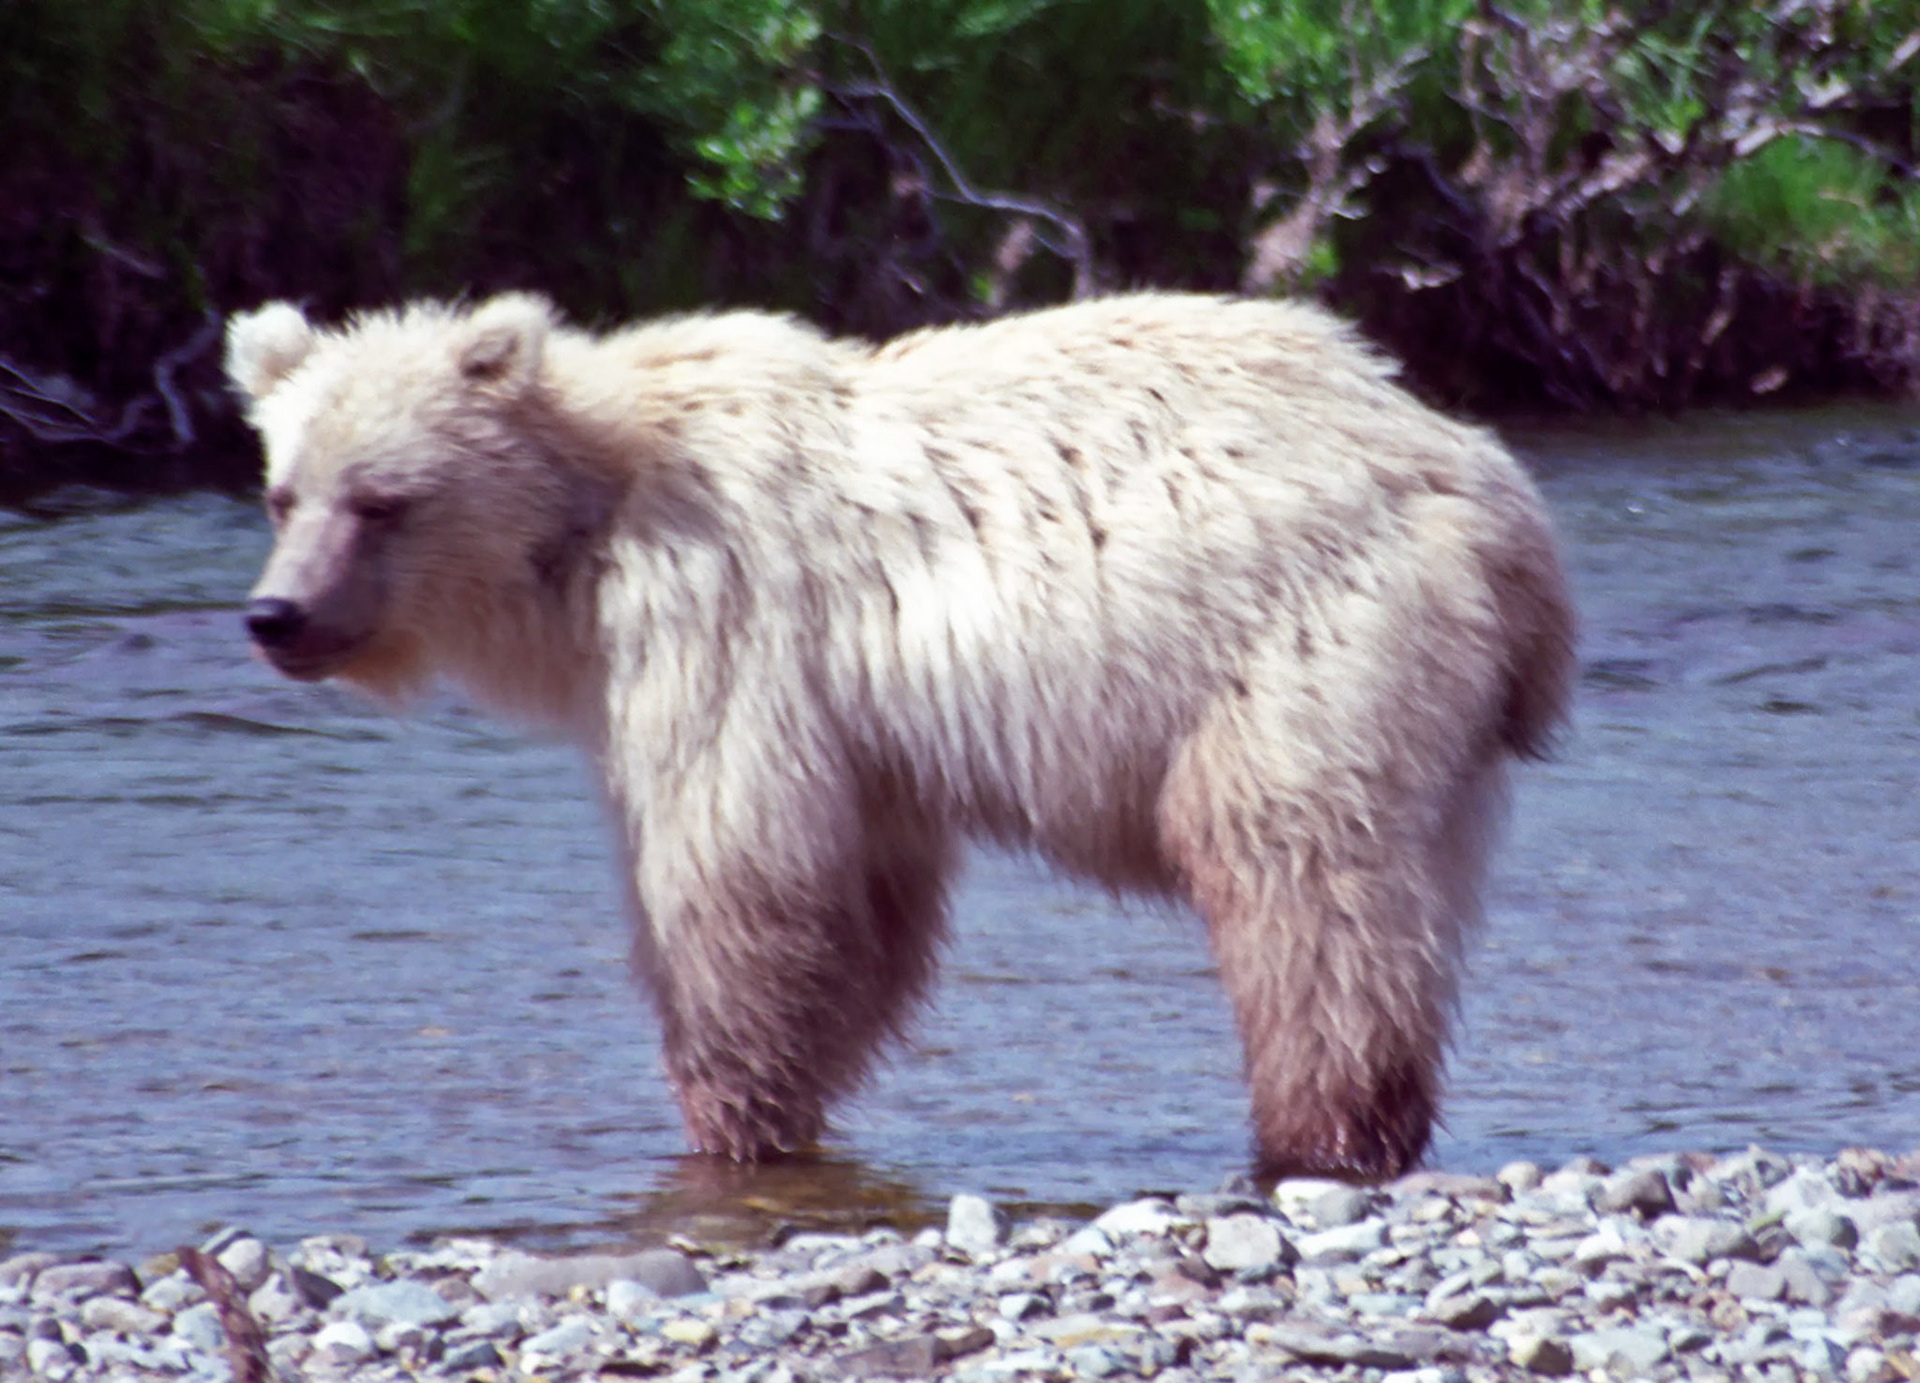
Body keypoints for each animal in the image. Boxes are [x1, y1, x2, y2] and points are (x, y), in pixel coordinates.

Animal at [226, 291, 1574, 1181]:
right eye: (283, 489)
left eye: (383, 500)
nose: (276, 617)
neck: (585, 530)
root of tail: (1489, 485)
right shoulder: (854, 730)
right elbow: (860, 901)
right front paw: (783, 1101)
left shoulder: (719, 618)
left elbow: (734, 869)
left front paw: (728, 1112)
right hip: (1436, 711)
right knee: (1408, 888)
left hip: (1303, 640)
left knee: (1295, 878)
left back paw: (1317, 1128)